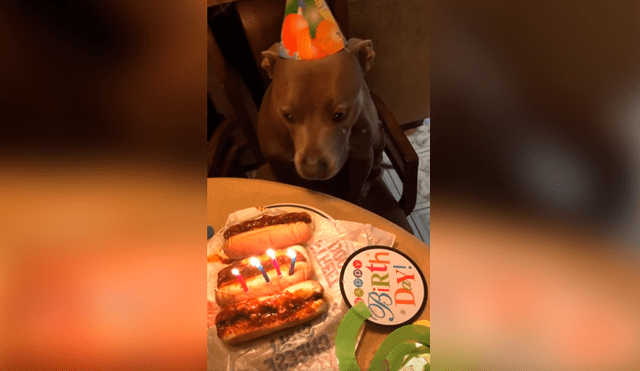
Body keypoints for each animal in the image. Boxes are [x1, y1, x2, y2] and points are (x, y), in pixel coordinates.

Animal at [256, 38, 384, 206]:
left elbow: (355, 190)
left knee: (377, 170)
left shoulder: (362, 157)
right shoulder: (278, 164)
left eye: (339, 115)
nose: (312, 169)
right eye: (287, 116)